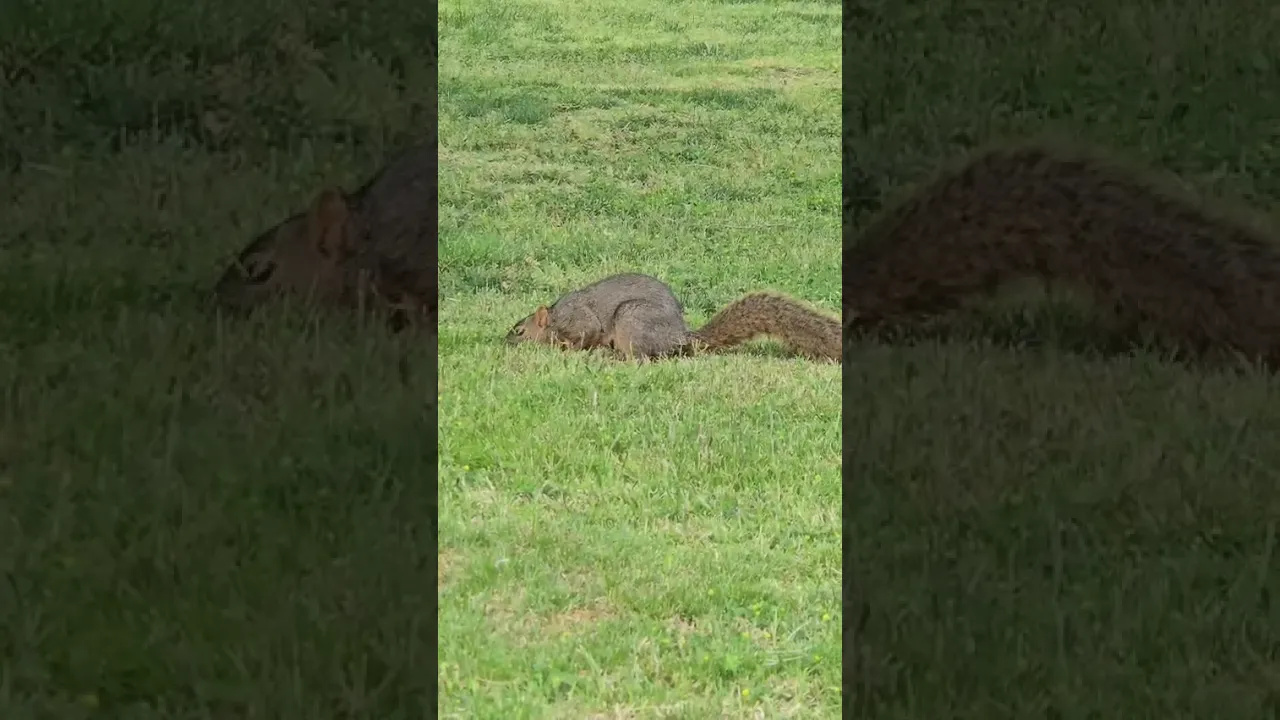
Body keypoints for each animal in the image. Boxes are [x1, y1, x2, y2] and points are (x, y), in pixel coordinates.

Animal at [505, 272, 841, 361]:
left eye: (519, 332)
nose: (504, 343)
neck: (555, 318)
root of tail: (680, 336)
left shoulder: (580, 321)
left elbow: (584, 336)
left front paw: (566, 350)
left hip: (633, 321)